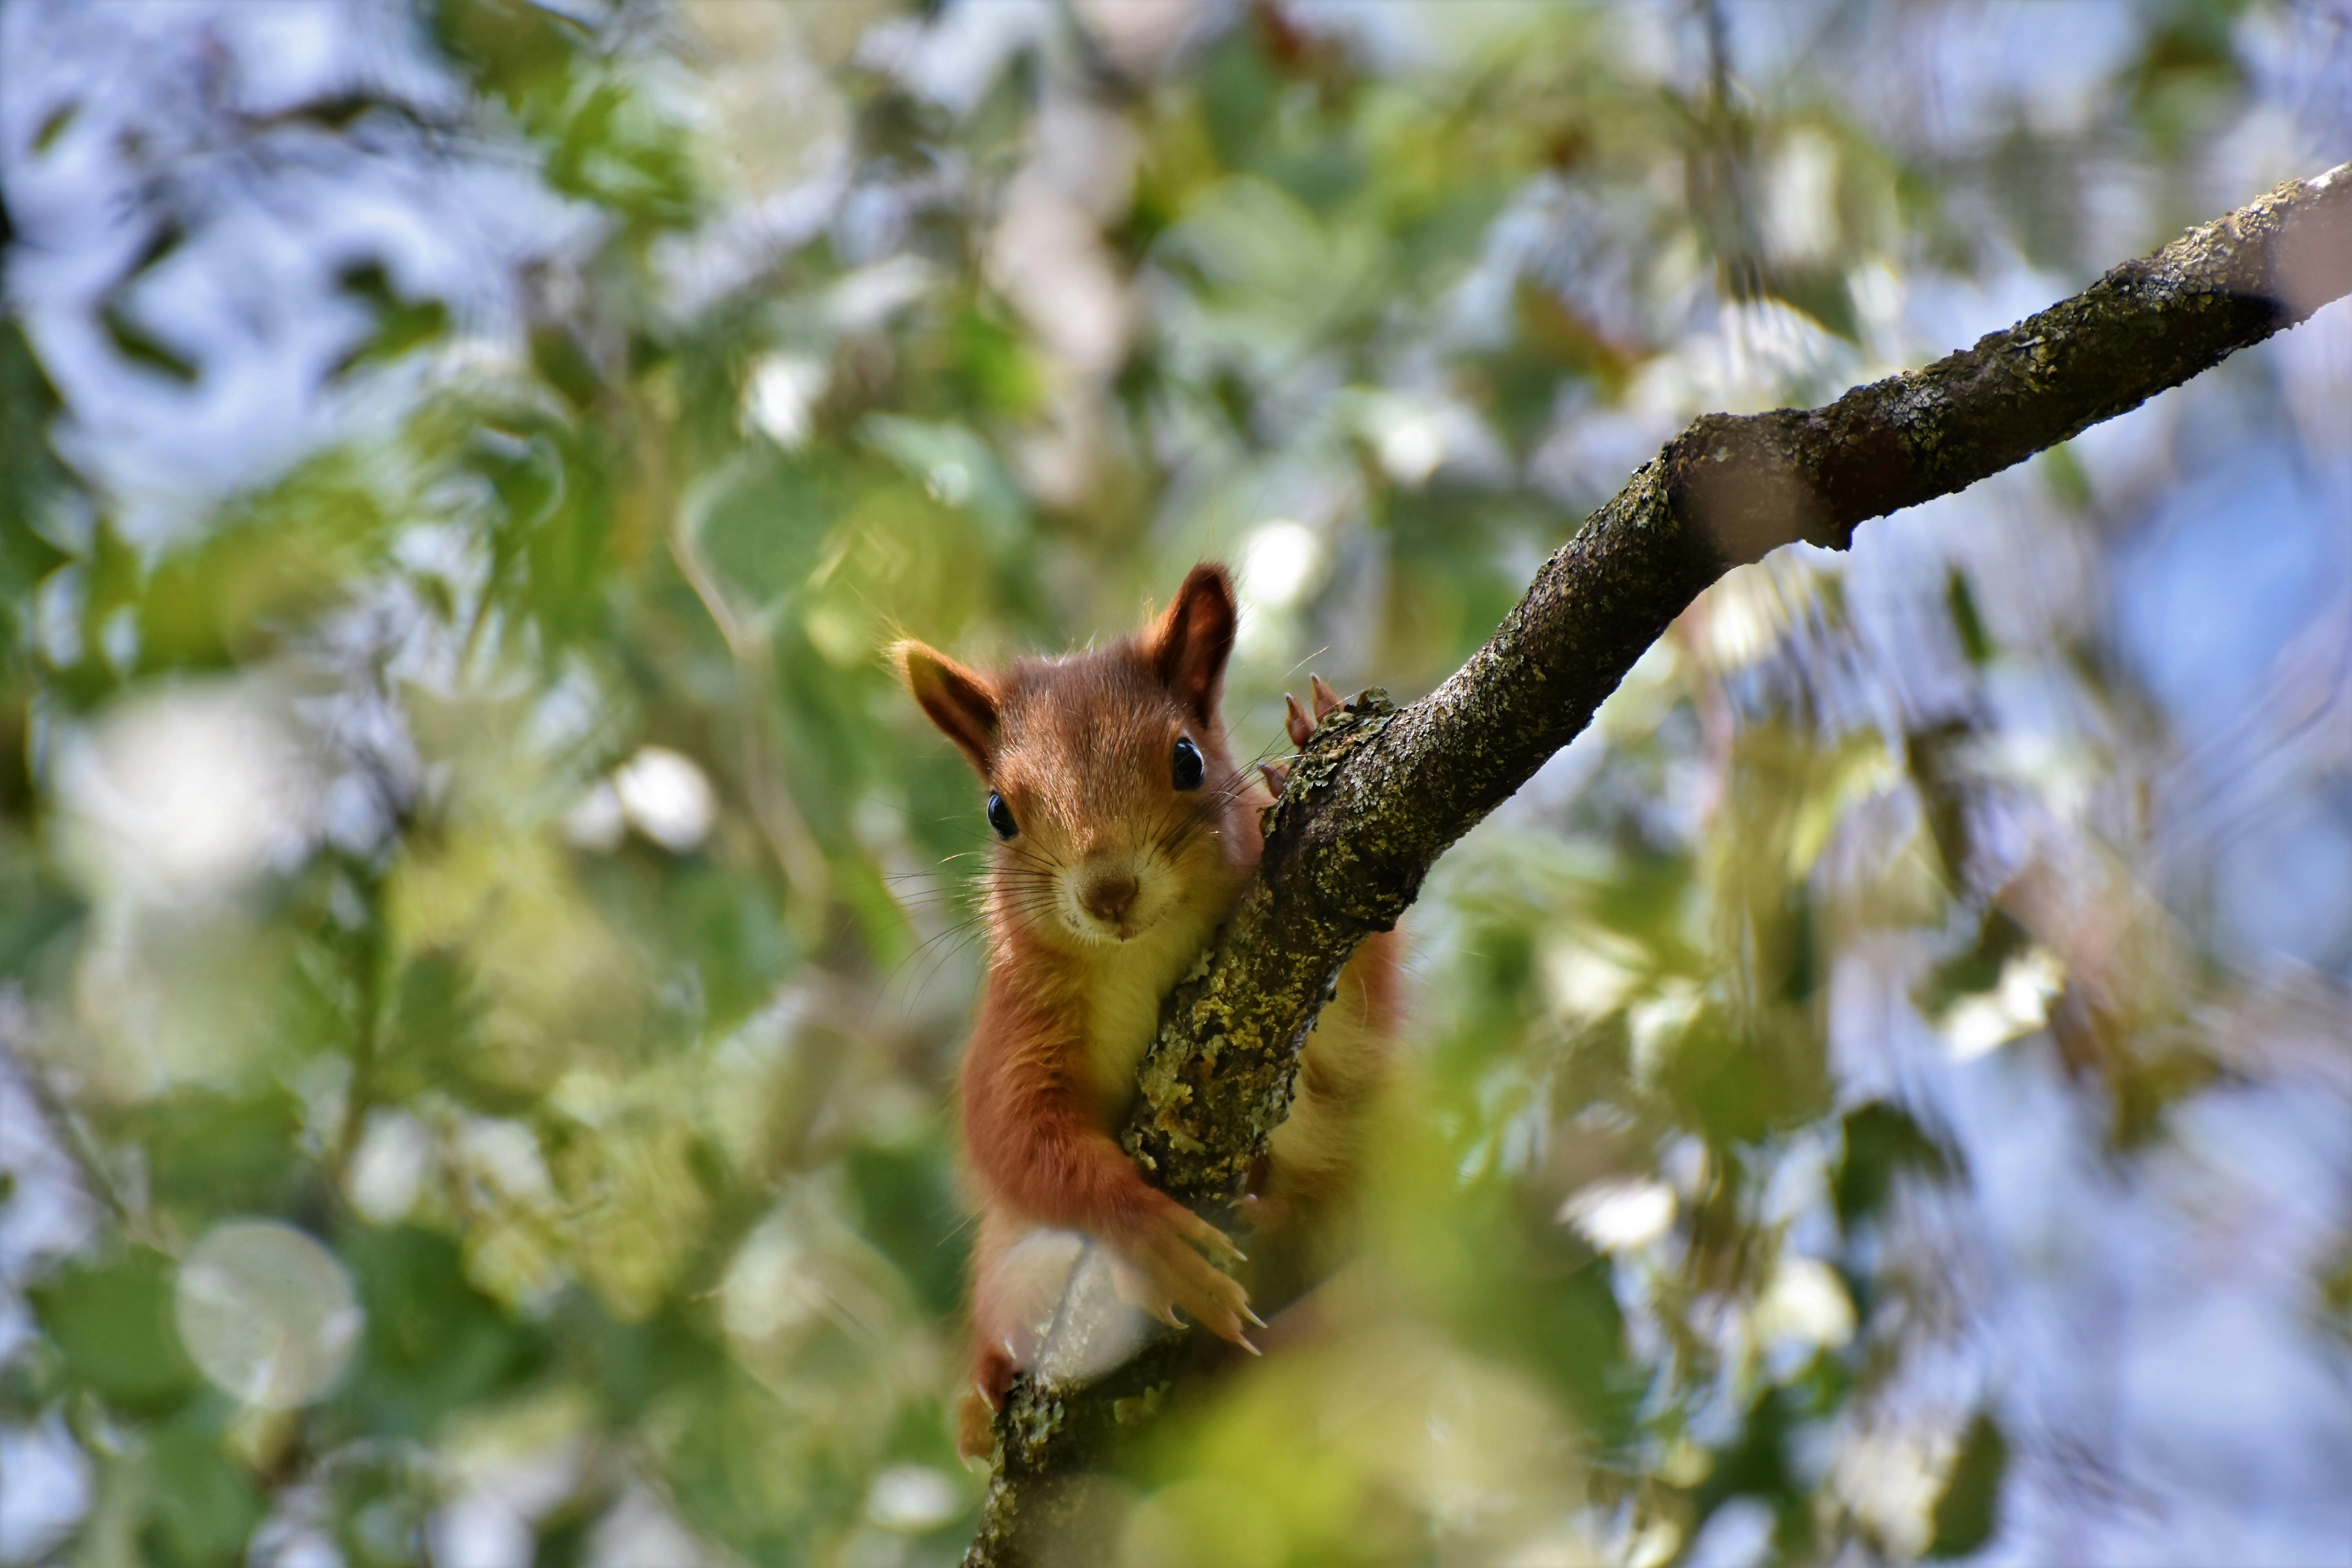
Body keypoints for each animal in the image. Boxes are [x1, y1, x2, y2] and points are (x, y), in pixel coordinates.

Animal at [896, 562, 1400, 1460]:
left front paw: (1306, 751)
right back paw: (985, 1400)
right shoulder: (1016, 1025)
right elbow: (1016, 1136)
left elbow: (1353, 1037)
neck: (1136, 951)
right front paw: (1145, 1233)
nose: (1110, 891)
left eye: (1187, 757)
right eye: (999, 811)